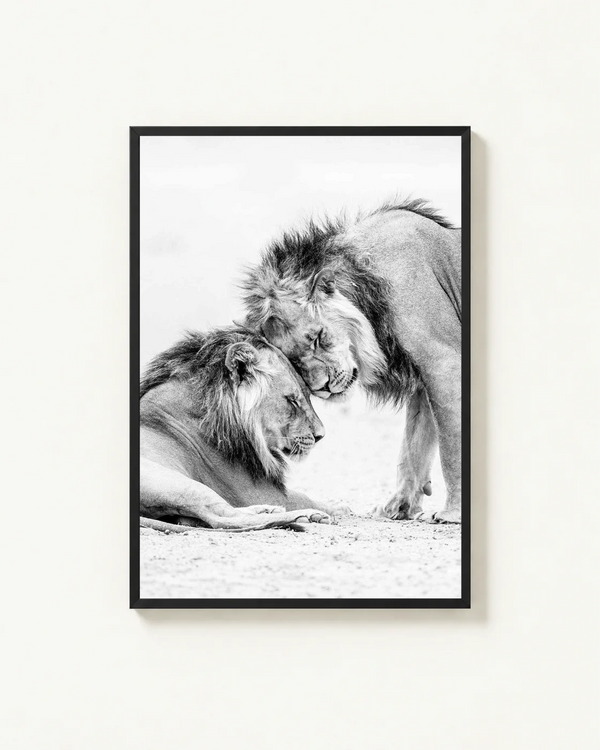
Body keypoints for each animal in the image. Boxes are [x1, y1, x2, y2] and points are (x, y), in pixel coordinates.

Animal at [140, 327, 333, 532]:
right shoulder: (257, 492)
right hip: (182, 484)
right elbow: (313, 499)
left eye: (307, 395)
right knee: (221, 518)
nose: (320, 435)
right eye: (292, 400)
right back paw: (305, 516)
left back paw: (268, 510)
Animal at [242, 199, 462, 523]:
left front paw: (452, 513)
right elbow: (413, 446)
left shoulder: (444, 363)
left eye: (318, 337)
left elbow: (451, 445)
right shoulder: (424, 377)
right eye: (294, 359)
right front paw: (398, 506)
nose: (322, 387)